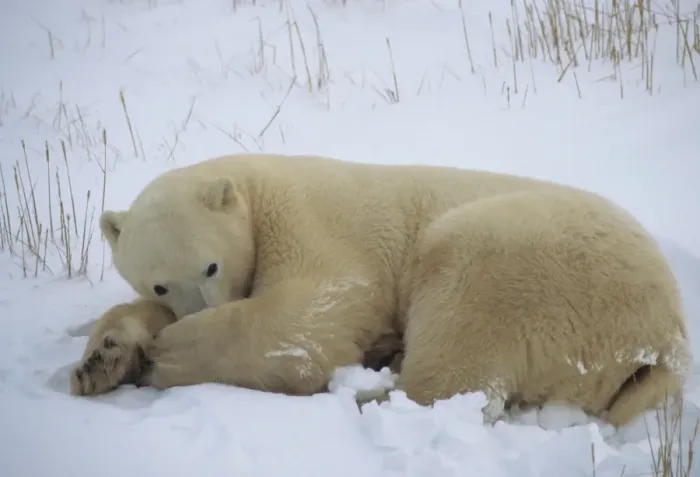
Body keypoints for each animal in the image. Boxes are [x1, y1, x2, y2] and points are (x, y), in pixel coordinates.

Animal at [70, 152, 691, 427]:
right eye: (161, 281)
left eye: (211, 266)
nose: (195, 307)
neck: (255, 184)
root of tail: (667, 340)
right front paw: (102, 359)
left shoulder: (309, 223)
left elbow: (310, 318)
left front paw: (162, 355)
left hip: (532, 263)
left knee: (461, 334)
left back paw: (375, 392)